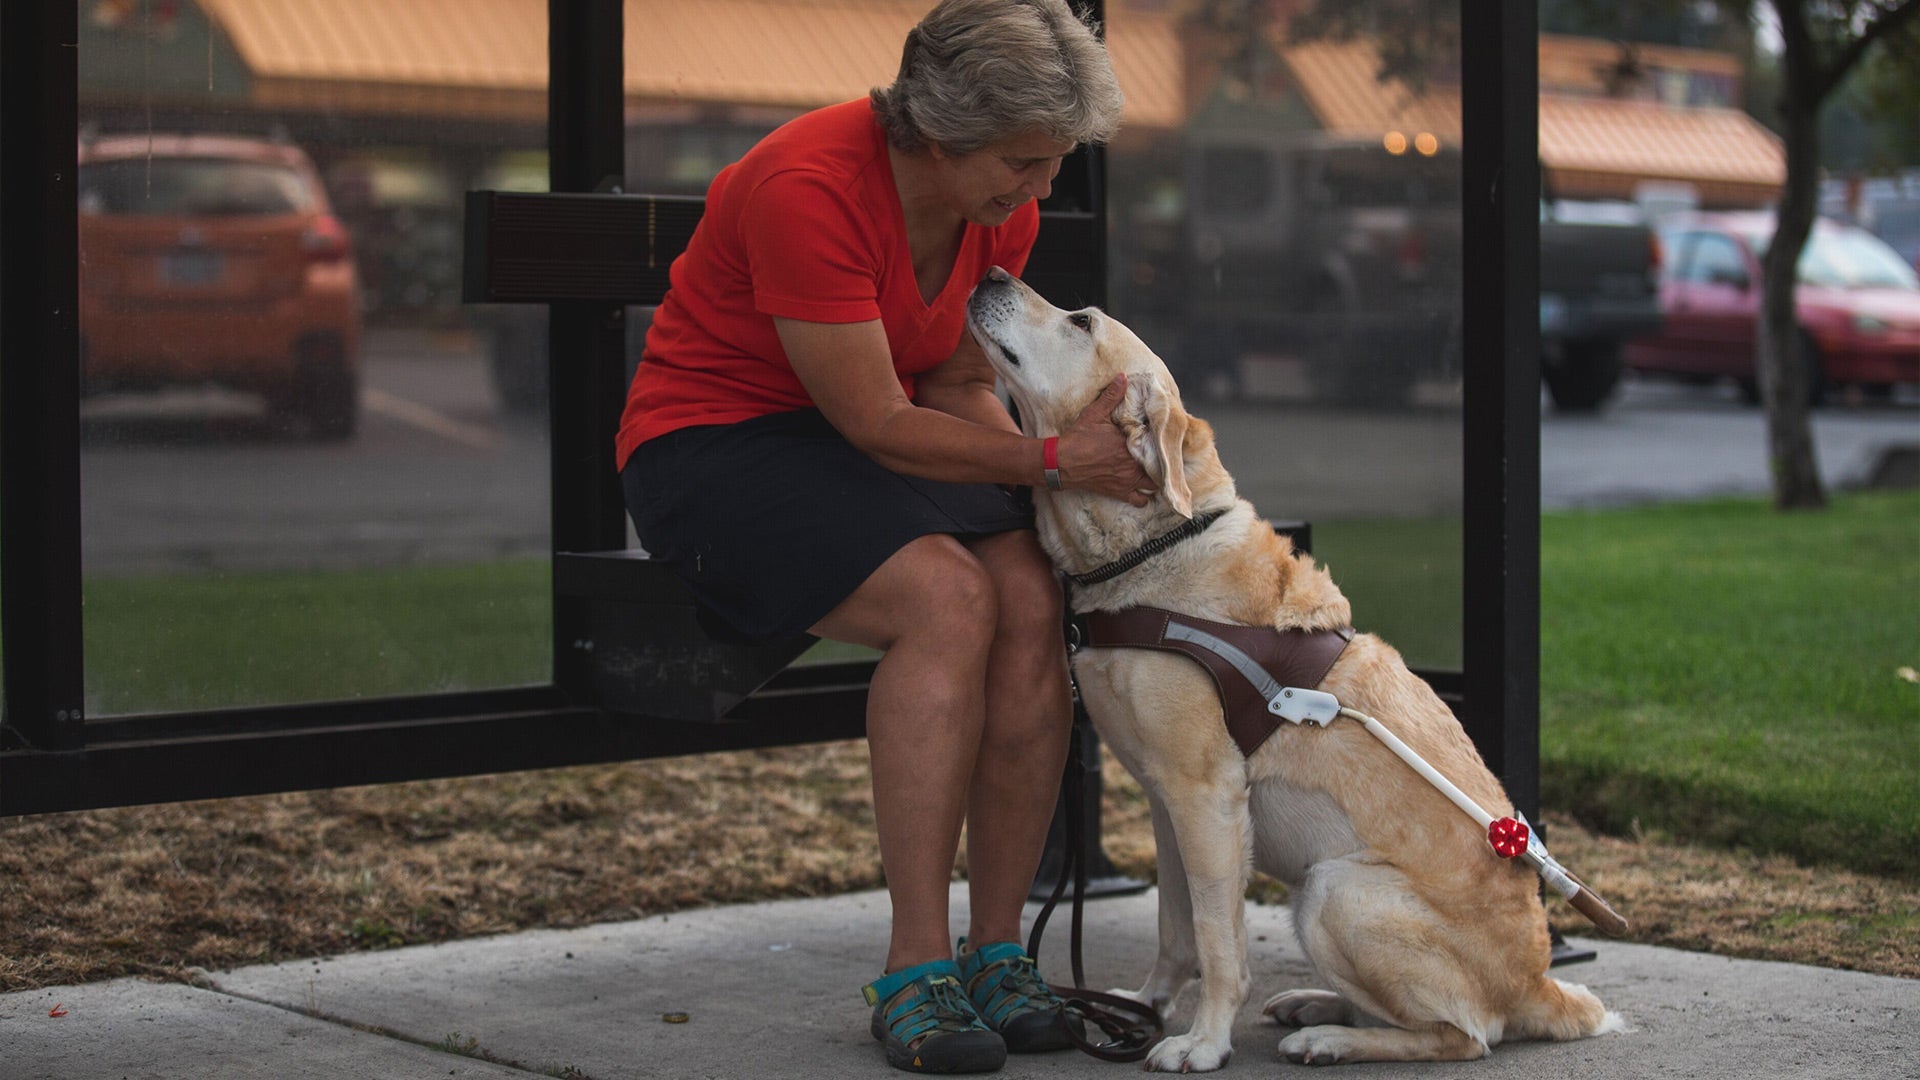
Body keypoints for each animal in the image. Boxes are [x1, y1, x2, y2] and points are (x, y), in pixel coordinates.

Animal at [967, 265, 1612, 1060]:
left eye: (1081, 320)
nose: (992, 272)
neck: (1150, 550)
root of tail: (1539, 985)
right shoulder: (1166, 802)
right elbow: (1177, 930)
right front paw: (1143, 1009)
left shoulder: (1207, 796)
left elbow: (1218, 942)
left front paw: (1203, 1042)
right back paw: (1316, 1005)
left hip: (1333, 889)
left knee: (1461, 1035)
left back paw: (1330, 1037)